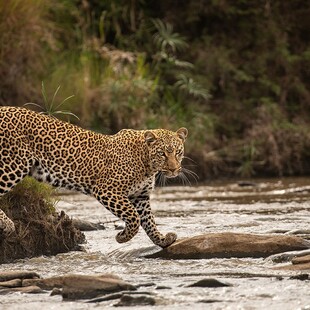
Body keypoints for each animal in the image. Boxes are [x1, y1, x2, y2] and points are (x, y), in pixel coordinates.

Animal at [0, 106, 189, 247]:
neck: (147, 164)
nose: (174, 169)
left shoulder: (140, 196)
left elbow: (148, 220)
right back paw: (7, 223)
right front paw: (122, 237)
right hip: (13, 164)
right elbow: (134, 217)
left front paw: (162, 239)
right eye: (162, 153)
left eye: (178, 152)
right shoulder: (107, 190)